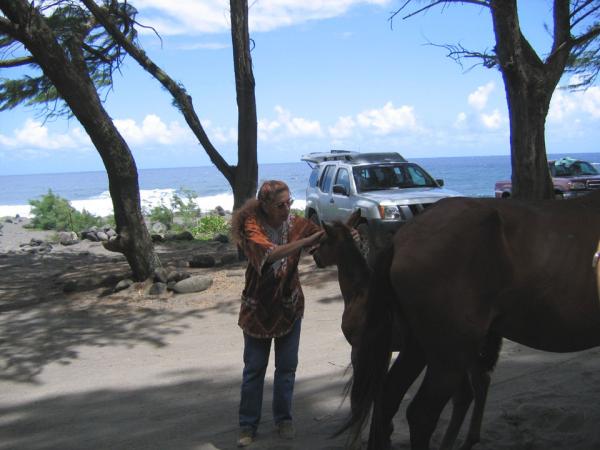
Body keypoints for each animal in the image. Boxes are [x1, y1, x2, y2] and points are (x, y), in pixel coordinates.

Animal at [314, 211, 502, 450]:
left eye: (323, 240)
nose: (315, 257)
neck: (359, 291)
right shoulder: (383, 351)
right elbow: (379, 391)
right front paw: (386, 433)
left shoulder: (359, 348)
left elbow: (359, 398)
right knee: (479, 384)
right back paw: (468, 439)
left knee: (469, 390)